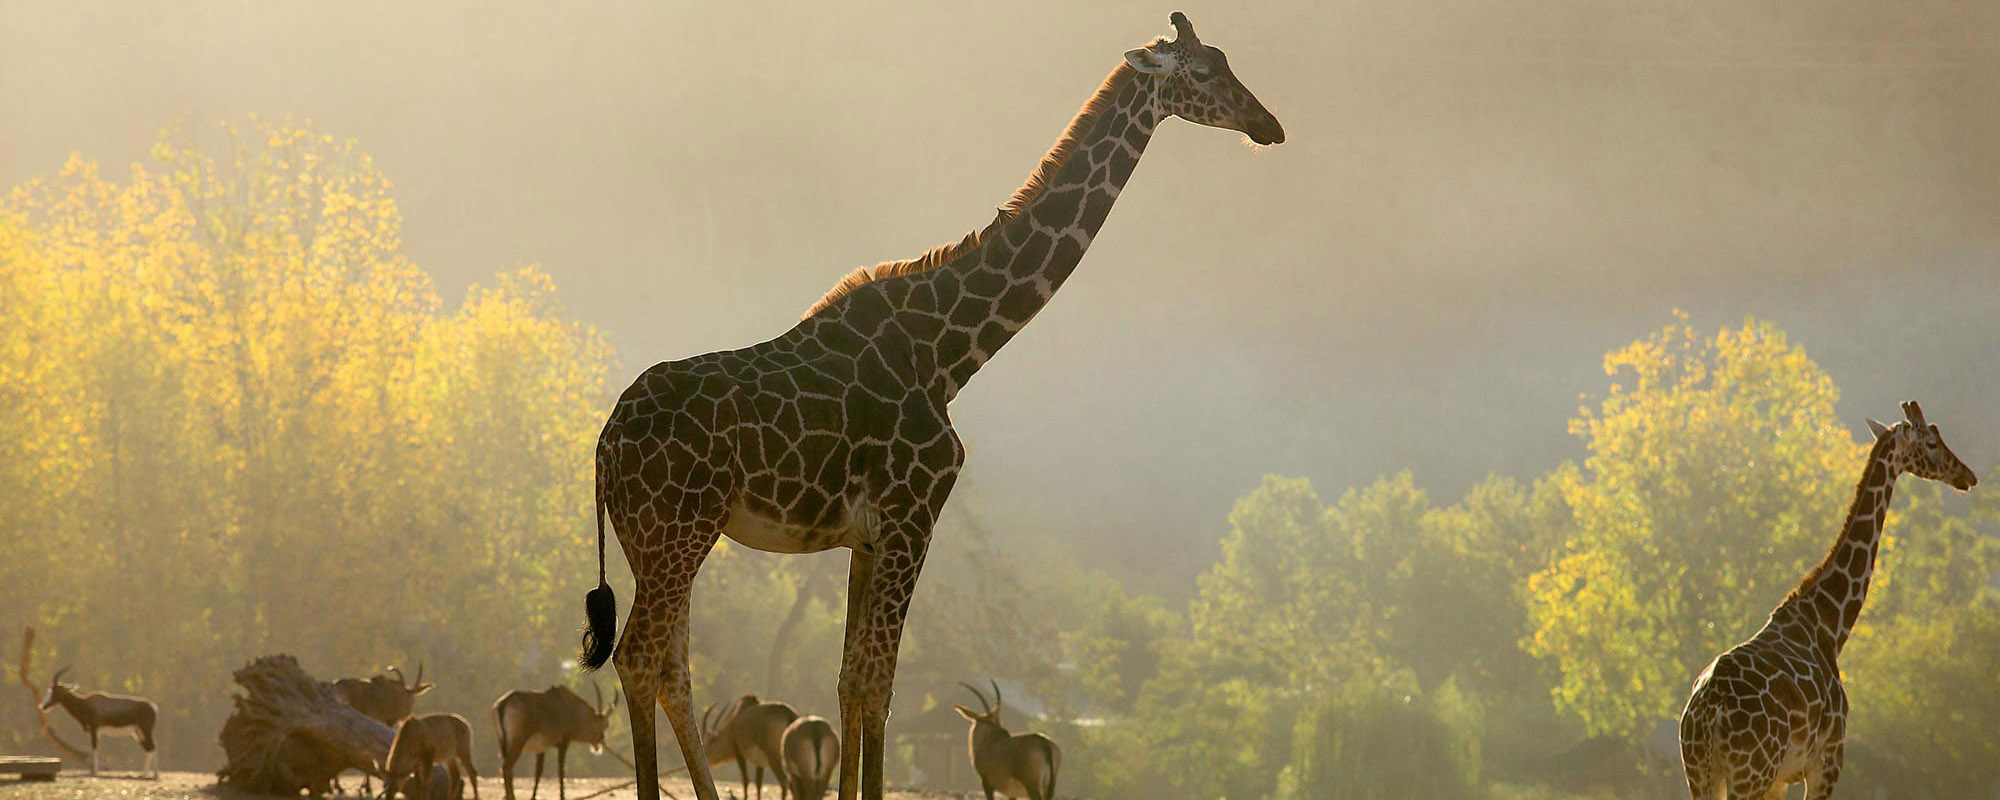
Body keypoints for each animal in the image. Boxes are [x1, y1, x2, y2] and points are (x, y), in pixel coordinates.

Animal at [574, 13, 1282, 800]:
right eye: (1201, 73)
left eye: (1227, 61)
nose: (1269, 125)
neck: (950, 353)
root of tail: (605, 442)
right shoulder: (914, 517)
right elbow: (878, 681)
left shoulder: (866, 536)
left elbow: (849, 679)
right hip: (680, 531)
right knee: (641, 656)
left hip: (656, 540)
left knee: (672, 664)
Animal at [1678, 400, 1977, 800]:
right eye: (1931, 441)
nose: (1967, 476)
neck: (1830, 624)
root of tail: (1709, 711)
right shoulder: (1827, 761)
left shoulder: (1780, 780)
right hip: (1749, 773)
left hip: (1702, 773)